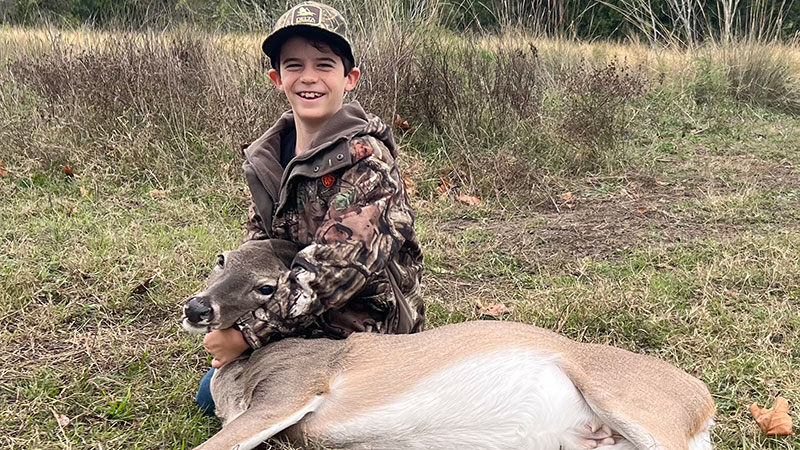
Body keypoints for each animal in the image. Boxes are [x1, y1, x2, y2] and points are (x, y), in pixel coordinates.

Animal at [182, 239, 716, 450]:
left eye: (267, 287)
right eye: (221, 258)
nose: (196, 308)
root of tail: (704, 405)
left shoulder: (289, 392)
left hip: (631, 402)